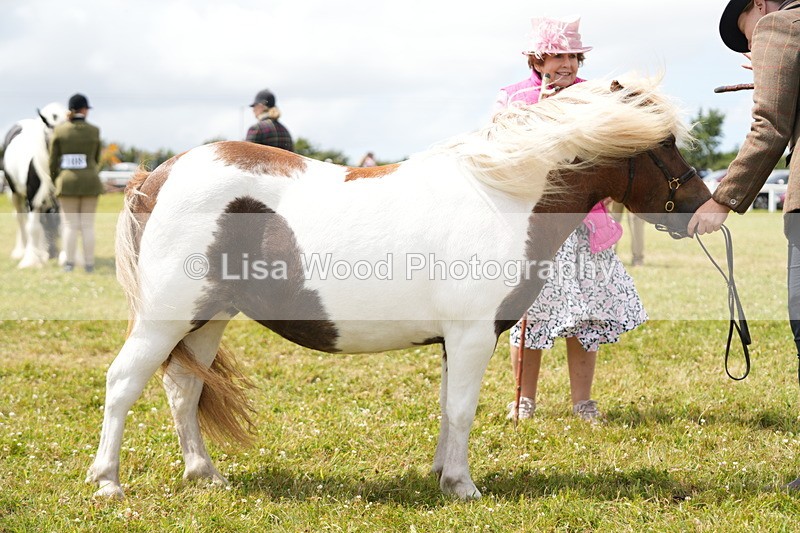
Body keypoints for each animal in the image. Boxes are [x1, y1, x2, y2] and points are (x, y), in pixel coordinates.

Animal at [2, 103, 68, 268]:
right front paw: (30, 261)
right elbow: (32, 228)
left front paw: (65, 258)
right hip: (16, 194)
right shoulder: (33, 198)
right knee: (21, 219)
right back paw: (22, 251)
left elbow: (63, 225)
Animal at [87, 78, 711, 500]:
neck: (500, 194)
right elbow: (461, 409)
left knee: (182, 391)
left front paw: (441, 474)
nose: (704, 211)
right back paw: (108, 482)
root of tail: (156, 175)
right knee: (122, 383)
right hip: (167, 318)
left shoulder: (455, 342)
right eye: (663, 144)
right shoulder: (472, 336)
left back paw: (205, 475)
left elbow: (446, 409)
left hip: (206, 320)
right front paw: (462, 485)